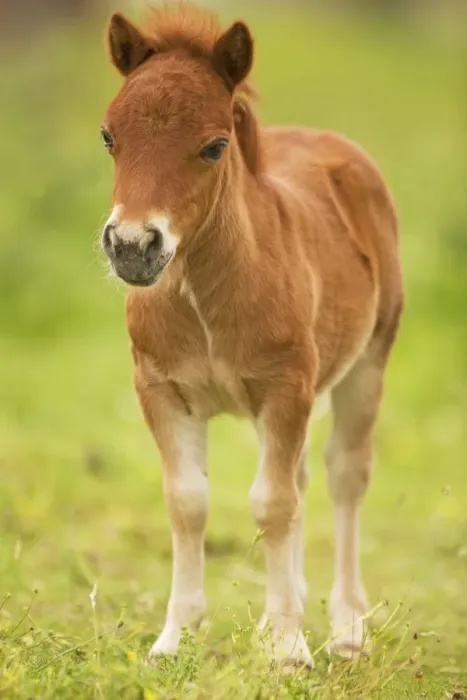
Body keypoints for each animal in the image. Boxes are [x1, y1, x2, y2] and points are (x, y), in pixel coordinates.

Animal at [100, 2, 403, 667]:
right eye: (108, 136)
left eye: (215, 147)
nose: (132, 246)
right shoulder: (160, 390)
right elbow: (188, 502)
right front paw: (174, 639)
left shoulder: (285, 388)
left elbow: (274, 503)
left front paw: (289, 650)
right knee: (303, 478)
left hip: (367, 362)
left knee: (344, 476)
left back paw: (346, 628)